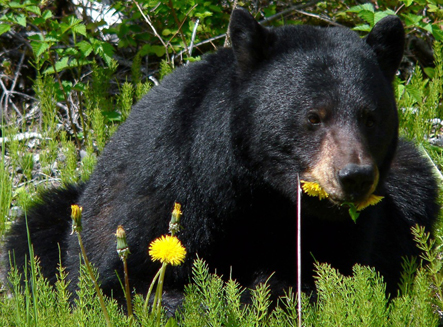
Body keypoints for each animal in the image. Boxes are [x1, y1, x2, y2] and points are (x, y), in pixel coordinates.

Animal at [3, 7, 440, 306]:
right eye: (313, 117)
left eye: (371, 117)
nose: (354, 176)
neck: (257, 191)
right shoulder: (164, 187)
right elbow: (121, 279)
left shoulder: (347, 228)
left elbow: (338, 272)